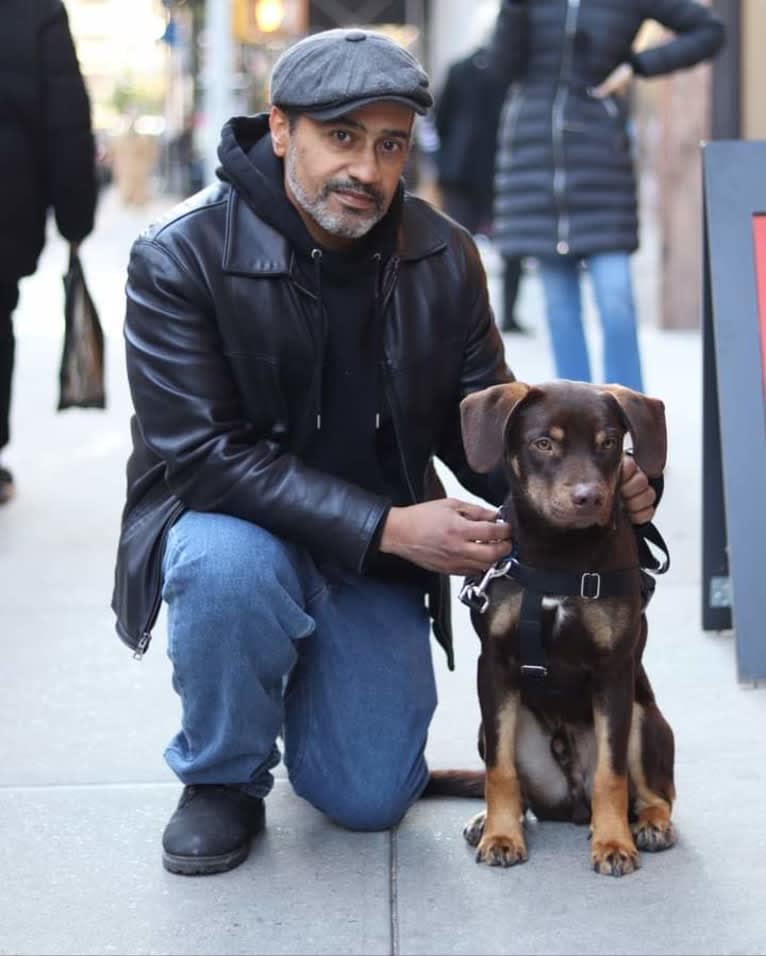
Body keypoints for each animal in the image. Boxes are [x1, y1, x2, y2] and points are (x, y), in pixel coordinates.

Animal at [452, 380, 676, 872]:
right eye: (543, 443)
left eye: (609, 443)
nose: (588, 497)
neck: (558, 553)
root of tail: (570, 803)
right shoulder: (494, 666)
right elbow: (499, 771)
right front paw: (501, 836)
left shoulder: (614, 672)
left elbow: (612, 775)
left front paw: (613, 843)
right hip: (490, 729)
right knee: (519, 789)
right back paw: (489, 820)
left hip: (643, 717)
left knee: (657, 793)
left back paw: (650, 825)